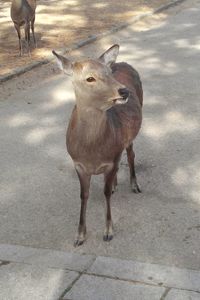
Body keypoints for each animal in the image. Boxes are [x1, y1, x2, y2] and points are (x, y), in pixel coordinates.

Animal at [52, 44, 143, 246]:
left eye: (109, 73)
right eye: (89, 78)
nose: (124, 91)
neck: (92, 152)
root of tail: (123, 62)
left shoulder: (112, 159)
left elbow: (105, 193)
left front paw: (108, 231)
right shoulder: (78, 164)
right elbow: (83, 195)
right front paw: (79, 235)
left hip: (129, 137)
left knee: (131, 155)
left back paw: (134, 185)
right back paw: (117, 184)